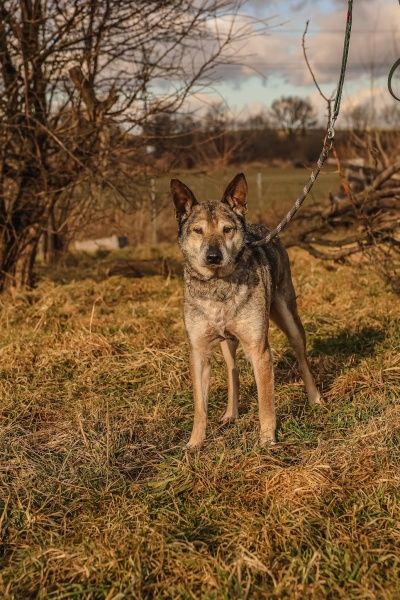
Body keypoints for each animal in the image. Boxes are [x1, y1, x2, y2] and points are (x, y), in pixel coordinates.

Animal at [170, 171, 320, 448]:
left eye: (227, 230)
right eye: (198, 231)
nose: (213, 256)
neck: (218, 284)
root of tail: (262, 227)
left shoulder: (259, 350)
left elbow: (265, 403)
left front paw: (267, 440)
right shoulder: (198, 352)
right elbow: (200, 406)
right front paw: (194, 443)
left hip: (289, 319)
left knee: (302, 358)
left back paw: (315, 399)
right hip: (226, 342)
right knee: (233, 370)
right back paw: (231, 413)